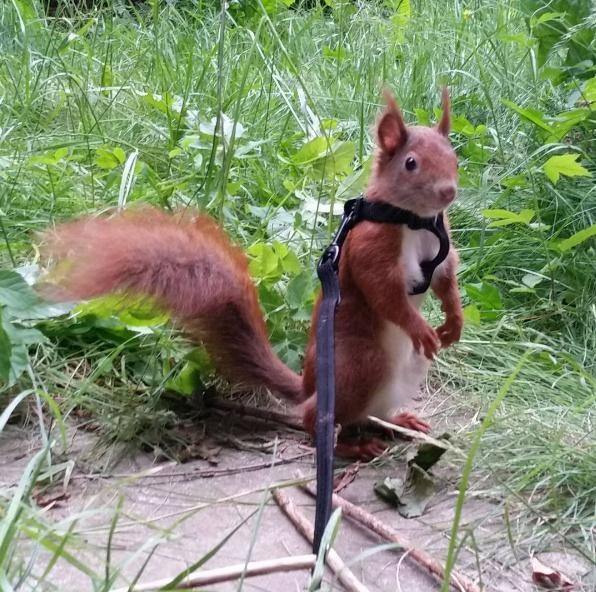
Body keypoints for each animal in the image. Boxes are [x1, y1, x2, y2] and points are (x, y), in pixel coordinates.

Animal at [42, 89, 464, 458]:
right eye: (411, 163)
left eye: (454, 157)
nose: (448, 192)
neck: (414, 220)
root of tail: (310, 386)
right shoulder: (370, 250)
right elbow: (385, 293)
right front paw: (420, 328)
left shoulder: (441, 251)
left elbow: (446, 280)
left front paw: (453, 324)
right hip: (360, 363)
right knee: (319, 420)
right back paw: (348, 445)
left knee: (369, 414)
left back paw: (399, 420)